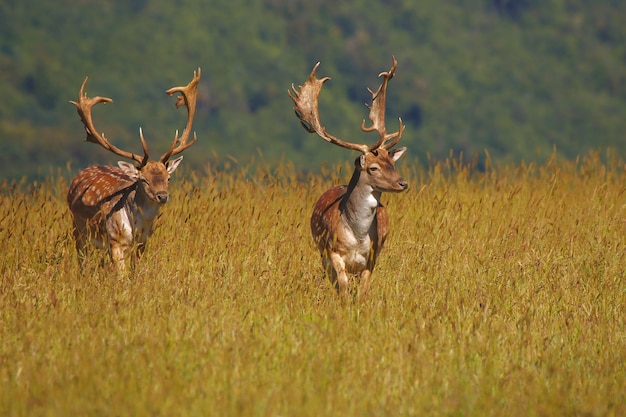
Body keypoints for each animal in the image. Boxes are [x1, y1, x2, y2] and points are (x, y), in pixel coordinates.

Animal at [66, 68, 199, 270]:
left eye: (168, 178)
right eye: (143, 179)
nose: (162, 196)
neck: (136, 228)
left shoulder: (142, 243)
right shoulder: (114, 241)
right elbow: (122, 275)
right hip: (78, 229)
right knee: (83, 261)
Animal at [288, 57, 410, 294]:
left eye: (392, 163)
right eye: (373, 168)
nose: (403, 183)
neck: (357, 238)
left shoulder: (372, 257)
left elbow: (362, 291)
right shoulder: (333, 252)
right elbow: (342, 287)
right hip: (322, 252)